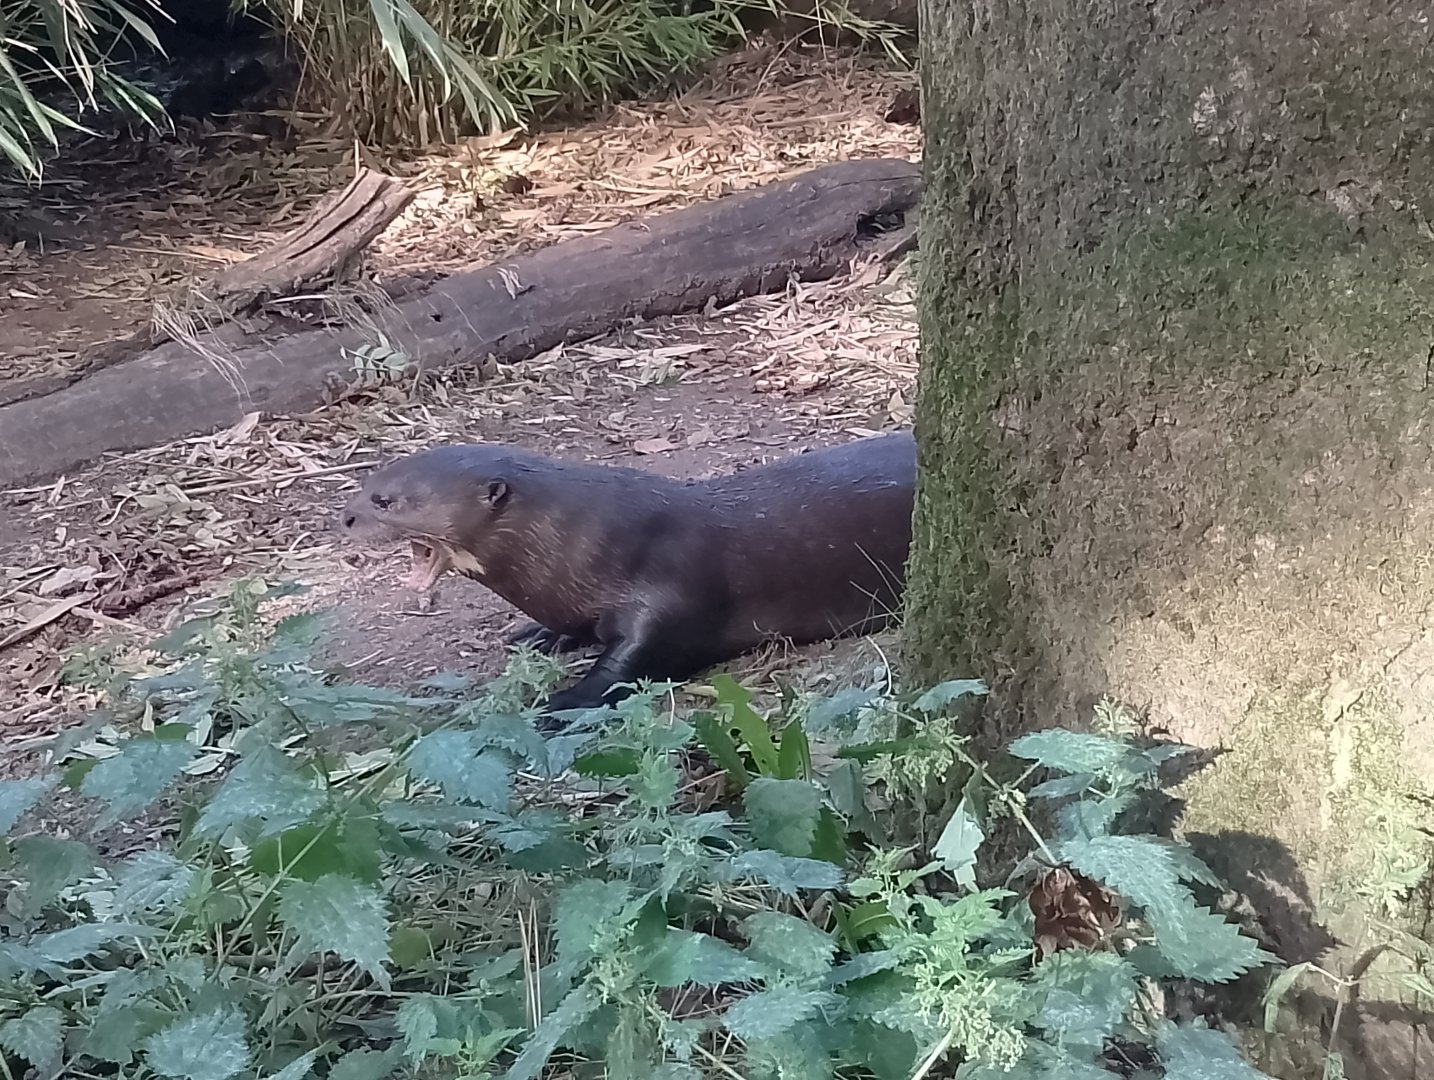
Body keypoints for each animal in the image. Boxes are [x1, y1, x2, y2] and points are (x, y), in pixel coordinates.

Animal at [338, 432, 916, 717]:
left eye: (386, 500)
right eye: (369, 481)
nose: (345, 517)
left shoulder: (670, 595)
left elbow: (634, 661)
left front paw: (562, 702)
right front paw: (540, 635)